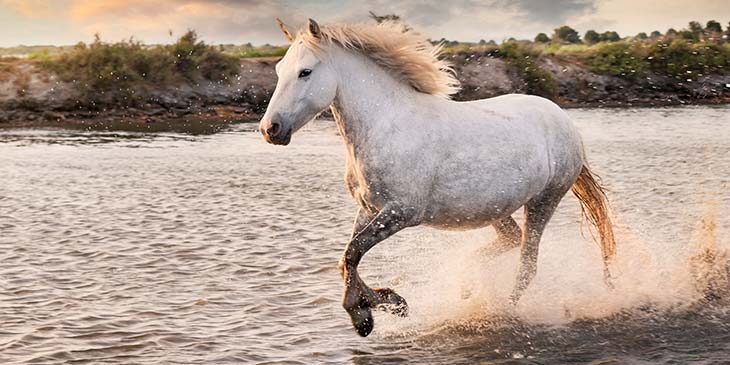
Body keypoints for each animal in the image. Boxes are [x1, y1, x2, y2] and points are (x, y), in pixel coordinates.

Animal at [258, 19, 612, 336]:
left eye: (305, 72)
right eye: (279, 70)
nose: (270, 129)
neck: (387, 126)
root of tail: (564, 120)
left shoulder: (402, 213)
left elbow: (352, 252)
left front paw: (371, 313)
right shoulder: (370, 209)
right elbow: (347, 259)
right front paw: (385, 305)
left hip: (543, 201)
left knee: (527, 264)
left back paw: (500, 310)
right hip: (492, 209)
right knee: (510, 240)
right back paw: (468, 286)